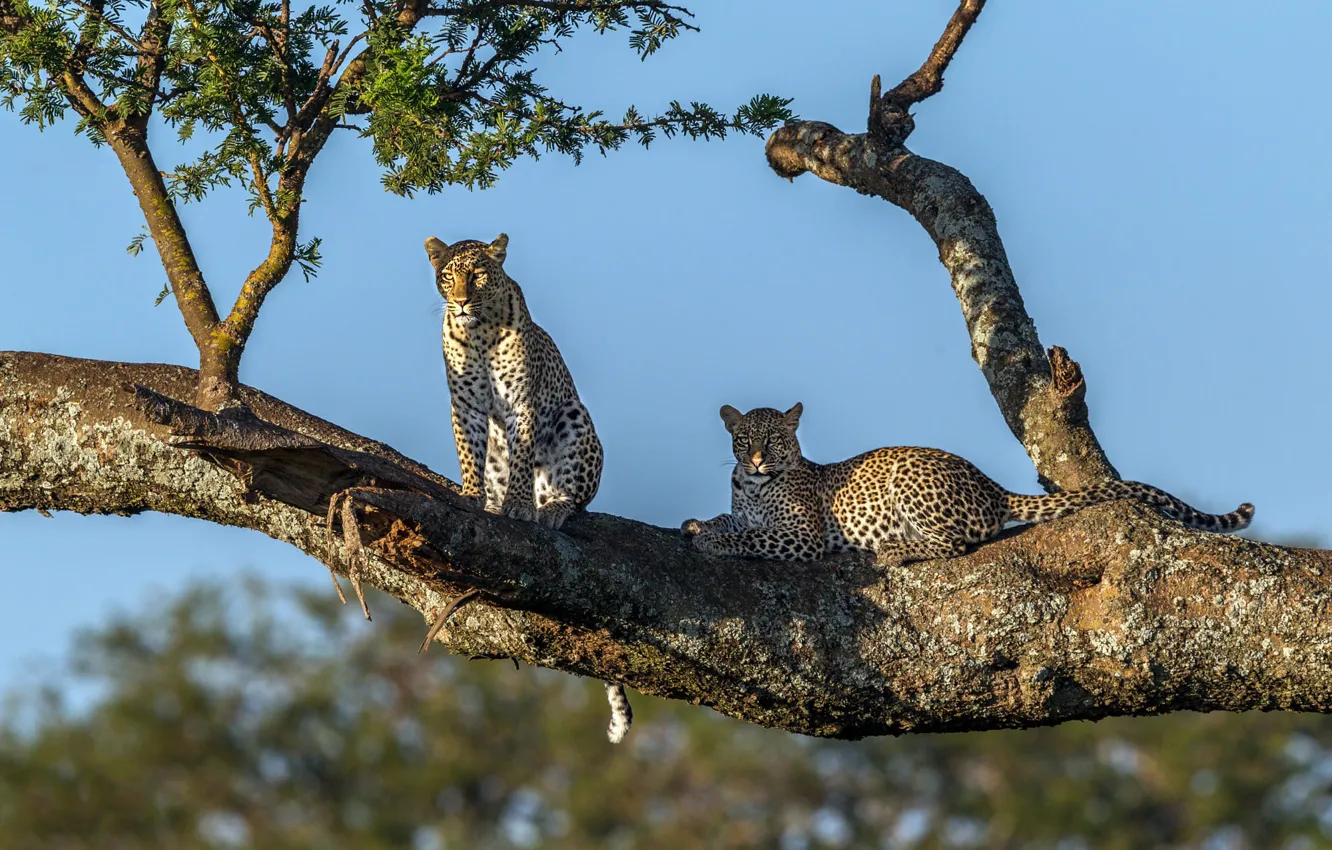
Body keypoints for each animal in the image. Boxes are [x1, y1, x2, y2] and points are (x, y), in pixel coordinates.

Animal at [425, 233, 630, 743]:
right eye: (448, 275)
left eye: (478, 274)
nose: (461, 300)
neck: (478, 333)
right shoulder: (466, 405)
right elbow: (468, 451)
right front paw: (471, 496)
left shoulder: (521, 404)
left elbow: (522, 457)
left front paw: (518, 507)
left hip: (575, 420)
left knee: (573, 495)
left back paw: (549, 506)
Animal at [682, 403, 1254, 565]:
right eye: (744, 439)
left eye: (776, 439)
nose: (758, 460)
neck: (753, 487)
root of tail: (991, 485)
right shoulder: (743, 504)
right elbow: (730, 519)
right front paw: (696, 523)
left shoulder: (800, 536)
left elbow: (752, 537)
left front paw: (712, 542)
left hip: (911, 481)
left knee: (953, 542)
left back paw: (894, 550)